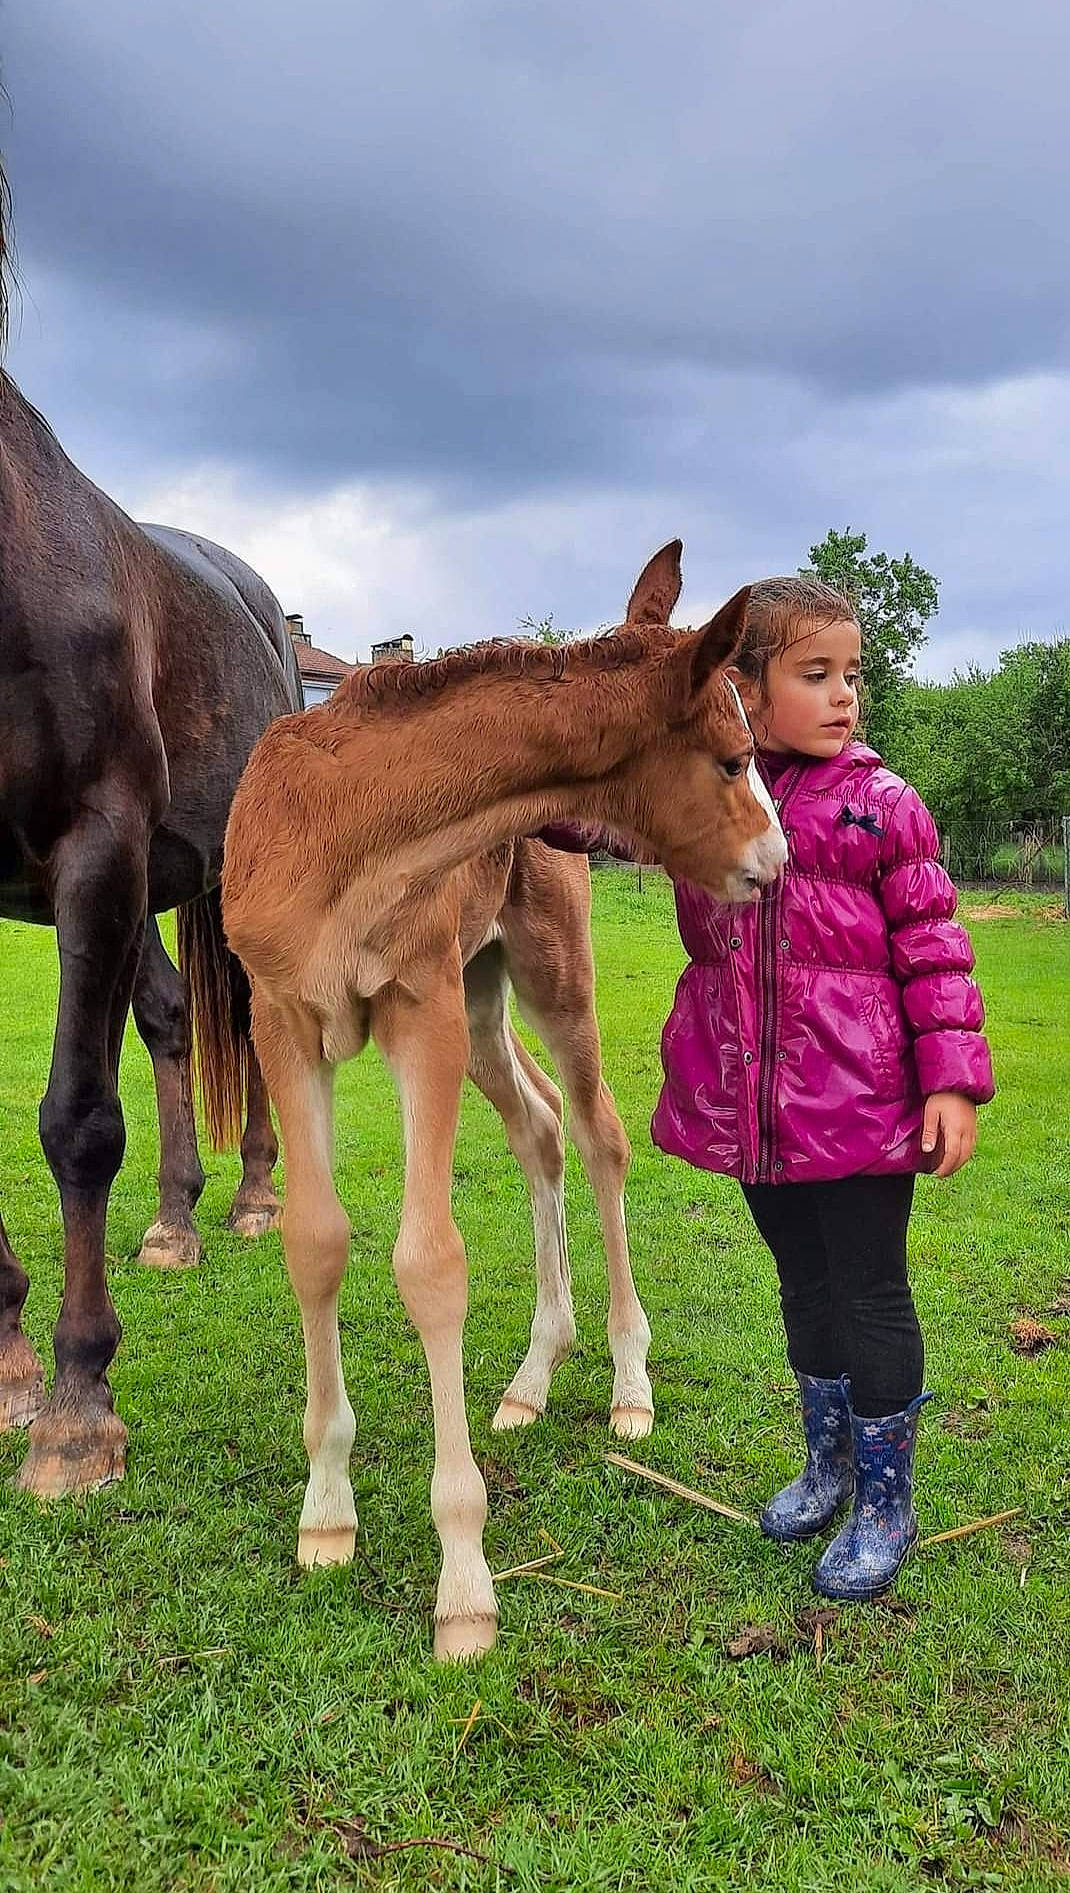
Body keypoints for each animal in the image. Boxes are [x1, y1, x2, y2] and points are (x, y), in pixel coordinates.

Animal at [209, 540, 786, 1658]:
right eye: (734, 758)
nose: (774, 865)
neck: (353, 833)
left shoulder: (419, 1012)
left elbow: (429, 1263)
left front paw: (465, 1585)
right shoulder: (283, 1022)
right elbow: (315, 1243)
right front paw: (326, 1512)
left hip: (542, 970)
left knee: (598, 1130)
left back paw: (626, 1383)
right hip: (481, 1005)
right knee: (539, 1128)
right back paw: (530, 1376)